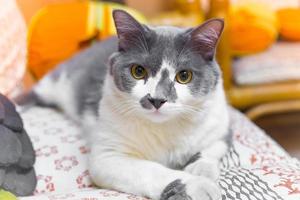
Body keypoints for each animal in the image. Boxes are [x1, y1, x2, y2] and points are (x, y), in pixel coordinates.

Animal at [18, 9, 230, 200]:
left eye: (184, 76)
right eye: (138, 71)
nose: (157, 99)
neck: (164, 128)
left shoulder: (220, 121)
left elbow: (215, 147)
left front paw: (201, 169)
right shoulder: (107, 157)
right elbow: (150, 170)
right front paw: (197, 185)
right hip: (60, 79)